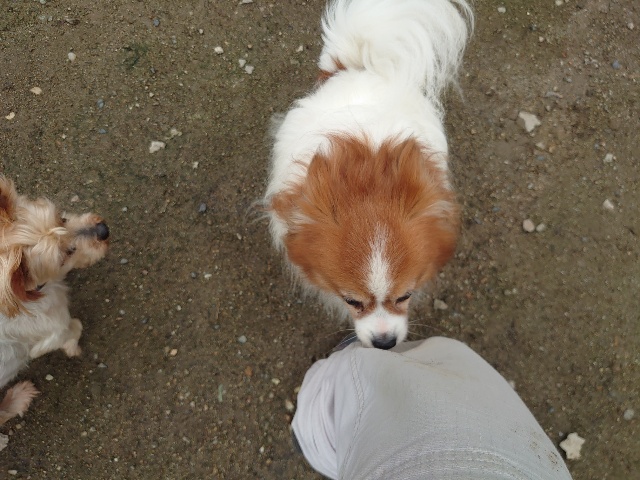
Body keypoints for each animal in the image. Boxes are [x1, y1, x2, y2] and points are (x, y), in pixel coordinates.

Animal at [0, 176, 109, 424]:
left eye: (62, 218)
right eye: (66, 254)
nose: (103, 229)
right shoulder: (54, 326)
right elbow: (73, 328)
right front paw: (73, 348)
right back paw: (18, 398)